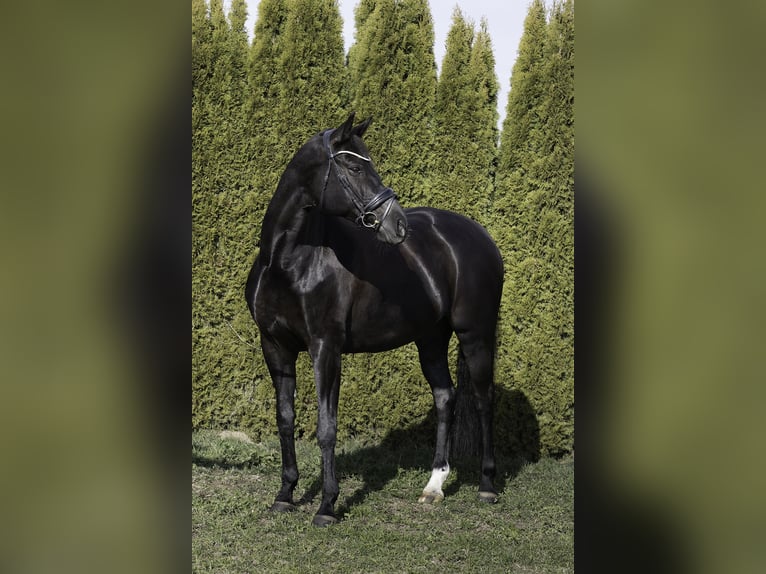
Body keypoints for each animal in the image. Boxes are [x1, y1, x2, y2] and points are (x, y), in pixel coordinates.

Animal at [245, 113, 504, 526]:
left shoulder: (326, 348)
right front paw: (285, 495)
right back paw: (434, 486)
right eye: (353, 167)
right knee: (445, 397)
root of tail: (481, 236)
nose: (397, 225)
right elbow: (285, 418)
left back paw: (487, 485)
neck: (288, 262)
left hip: (475, 334)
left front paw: (327, 506)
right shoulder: (275, 347)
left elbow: (326, 427)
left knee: (483, 400)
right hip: (430, 339)